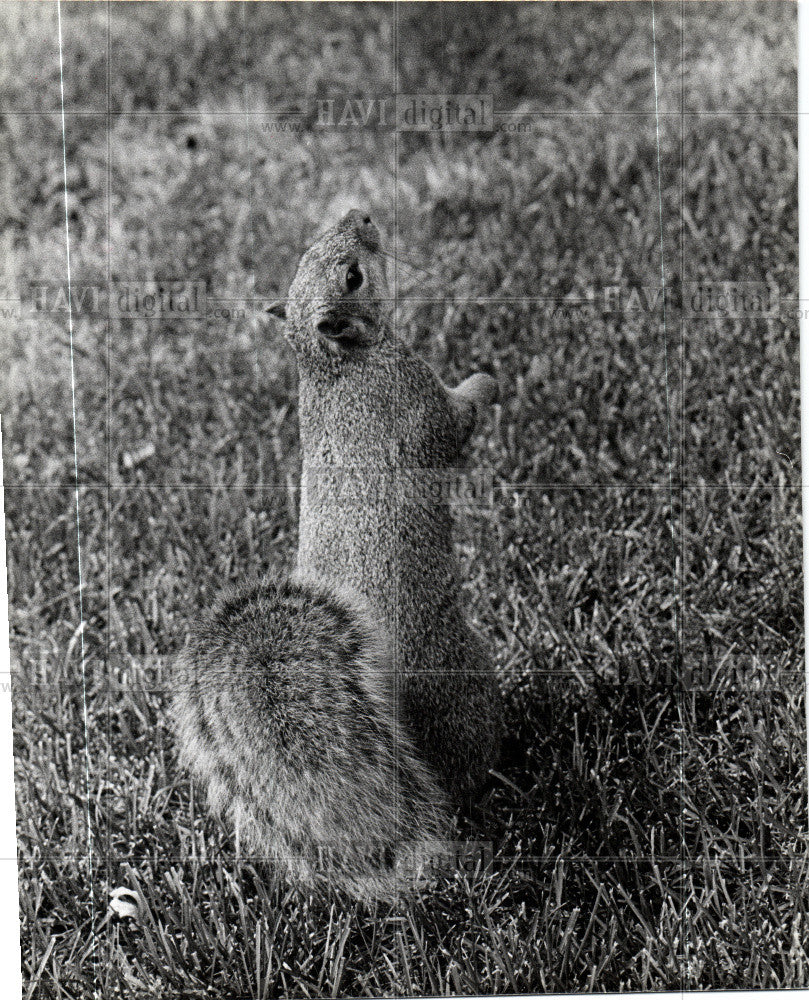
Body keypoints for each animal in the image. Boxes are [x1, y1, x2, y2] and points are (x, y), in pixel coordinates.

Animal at [173, 209, 502, 900]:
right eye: (353, 276)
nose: (362, 216)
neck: (333, 367)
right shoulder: (412, 399)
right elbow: (453, 427)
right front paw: (485, 383)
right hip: (466, 682)